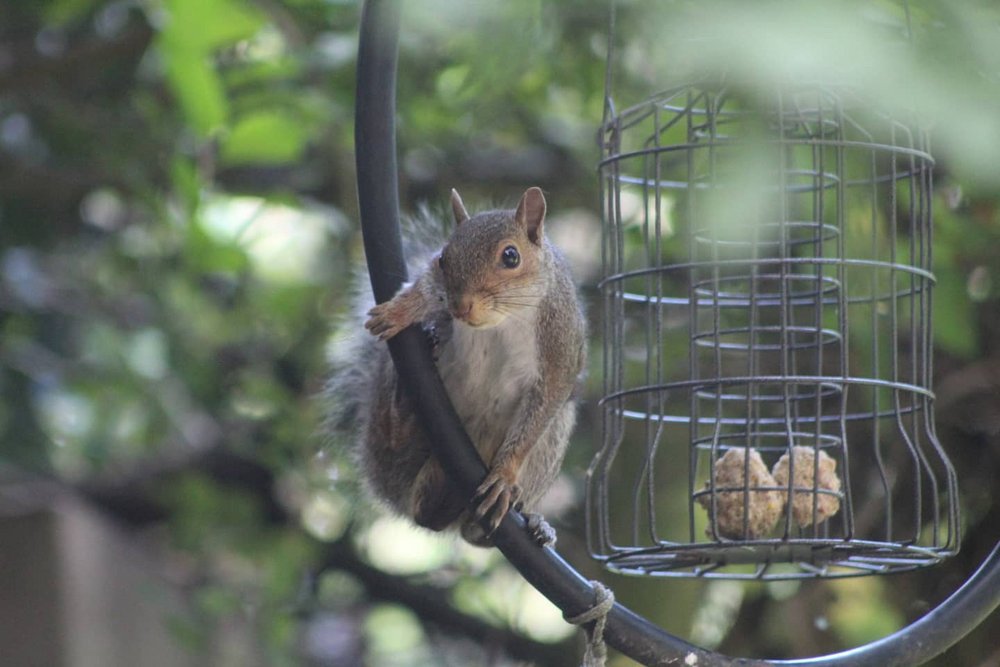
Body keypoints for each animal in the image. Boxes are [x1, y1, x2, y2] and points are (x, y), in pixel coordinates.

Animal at [332, 186, 586, 545]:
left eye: (511, 257)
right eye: (442, 258)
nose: (461, 306)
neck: (502, 321)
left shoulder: (559, 348)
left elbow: (540, 412)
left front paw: (504, 476)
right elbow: (427, 287)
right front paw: (402, 309)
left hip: (554, 437)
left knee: (470, 530)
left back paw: (530, 522)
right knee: (398, 442)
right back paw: (407, 399)